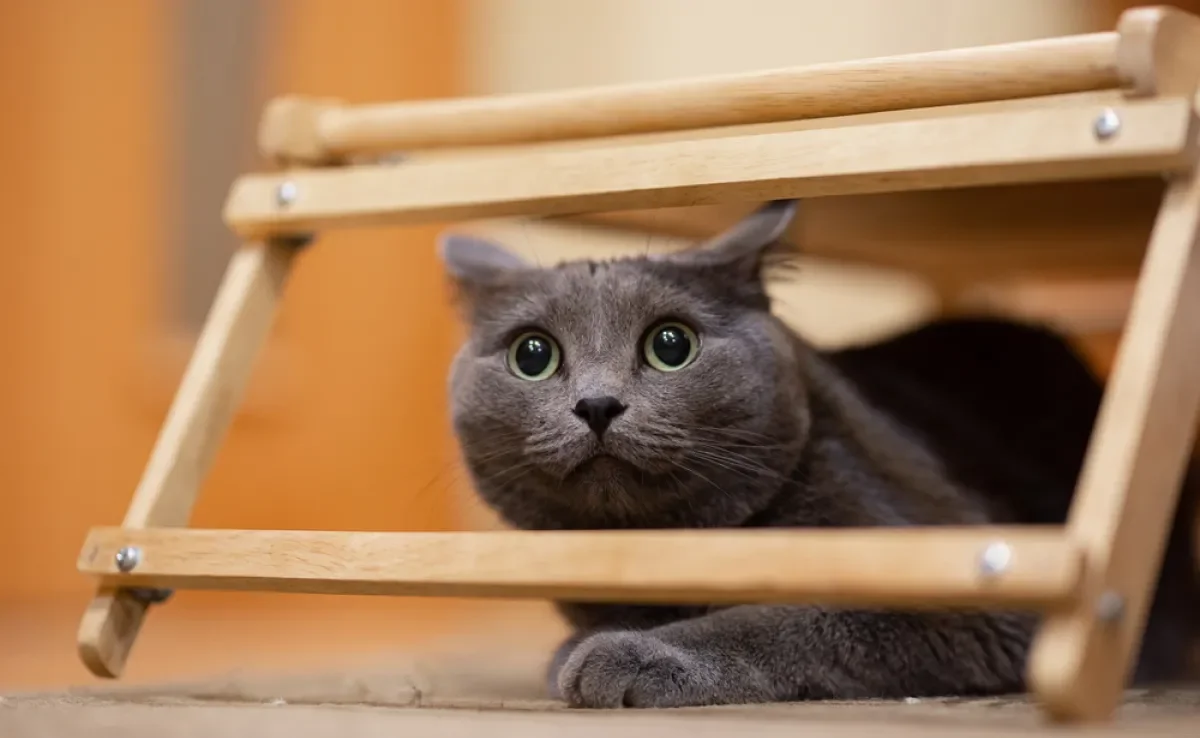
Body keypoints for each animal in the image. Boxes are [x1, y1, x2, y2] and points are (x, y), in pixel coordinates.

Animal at [441, 200, 1200, 710]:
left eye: (670, 345)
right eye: (533, 355)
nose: (598, 405)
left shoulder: (979, 599)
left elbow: (791, 617)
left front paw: (632, 654)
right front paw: (585, 645)